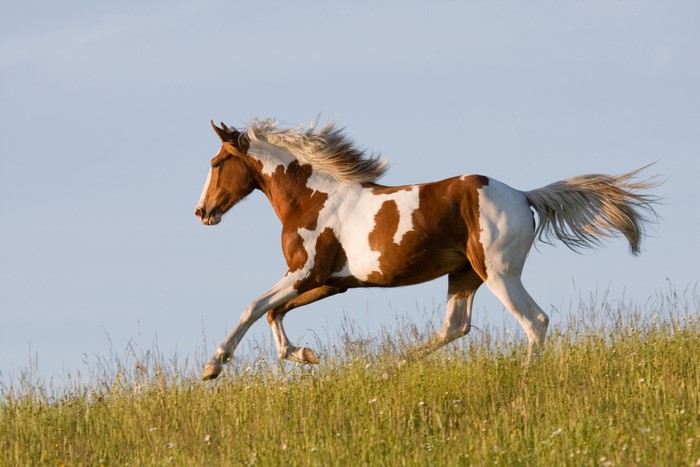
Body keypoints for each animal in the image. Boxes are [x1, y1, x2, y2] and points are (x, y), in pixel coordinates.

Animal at [195, 117, 658, 381]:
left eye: (217, 163)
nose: (202, 212)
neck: (314, 199)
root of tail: (524, 196)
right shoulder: (331, 282)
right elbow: (274, 312)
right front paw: (305, 355)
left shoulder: (304, 272)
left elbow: (254, 306)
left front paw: (213, 365)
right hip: (464, 274)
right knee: (455, 327)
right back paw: (389, 369)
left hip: (499, 273)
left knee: (535, 321)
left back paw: (526, 380)